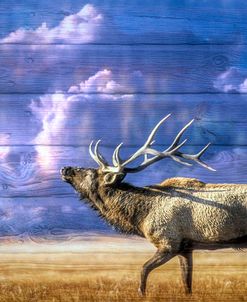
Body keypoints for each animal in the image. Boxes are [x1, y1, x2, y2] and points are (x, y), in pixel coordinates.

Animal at [60, 114, 247, 296]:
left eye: (89, 173)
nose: (64, 168)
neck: (141, 216)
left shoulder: (169, 242)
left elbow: (143, 270)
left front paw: (141, 294)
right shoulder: (186, 249)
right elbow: (187, 285)